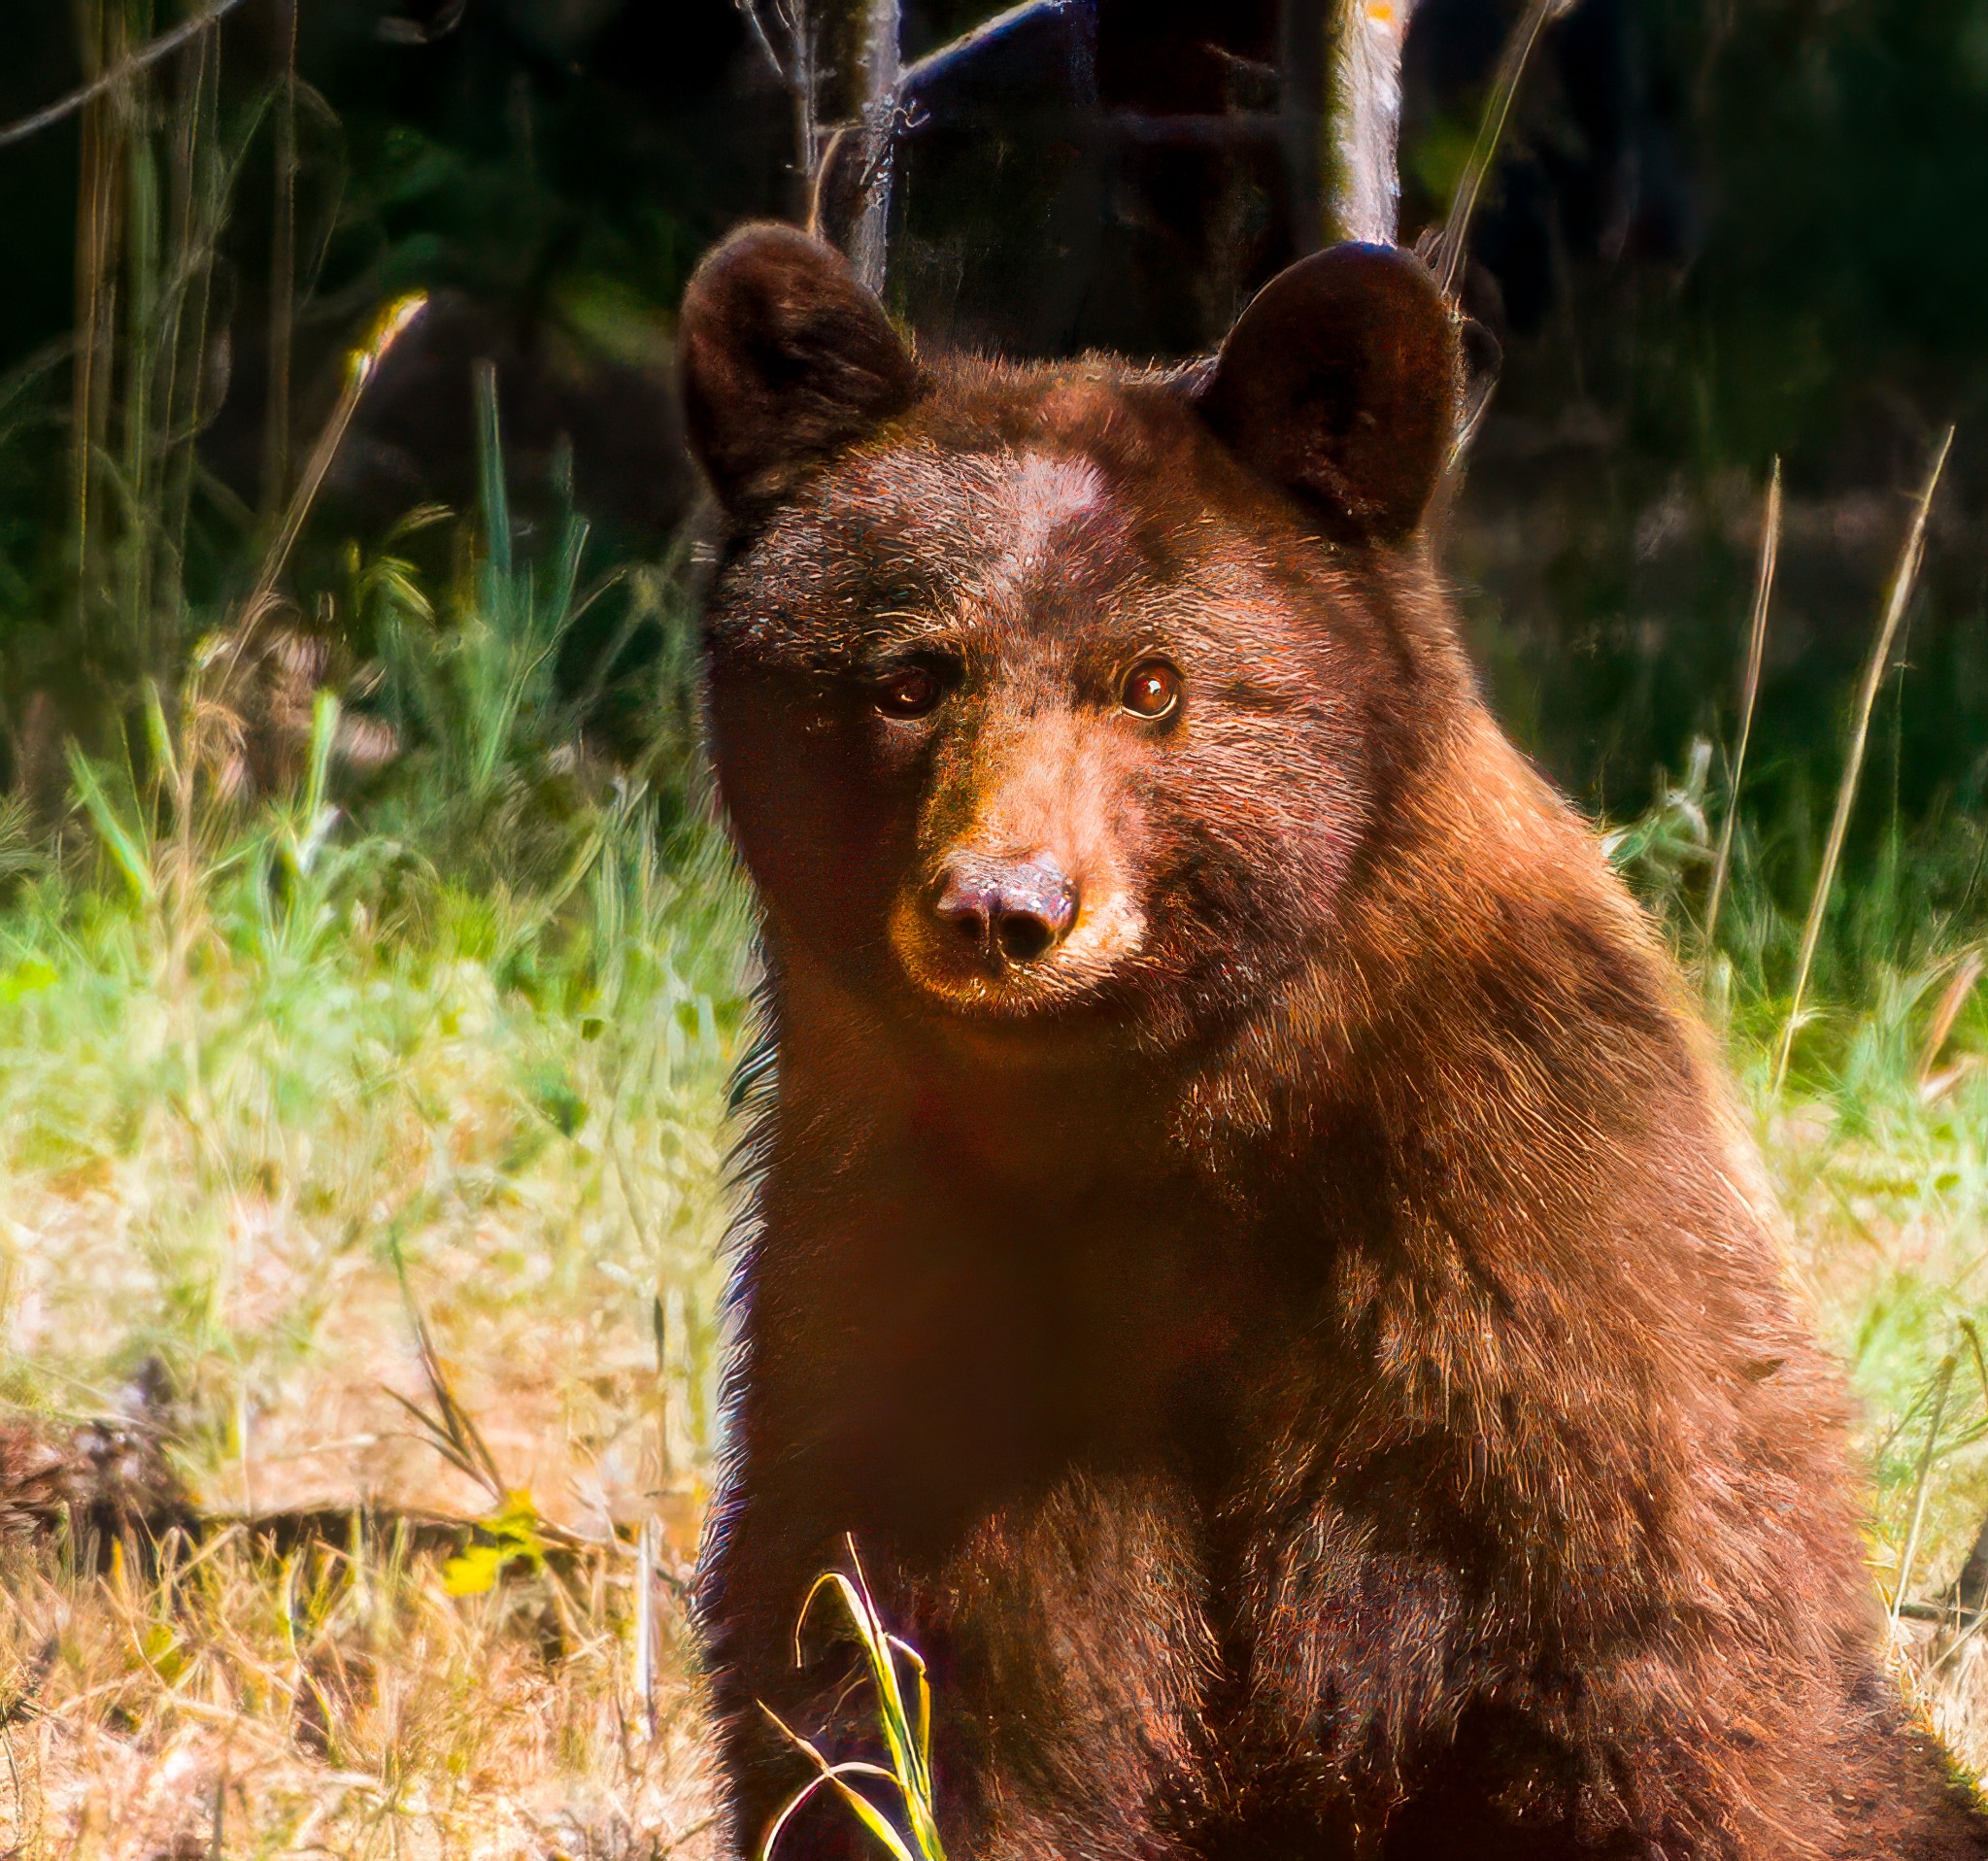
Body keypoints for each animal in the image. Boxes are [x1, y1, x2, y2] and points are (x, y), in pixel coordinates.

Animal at [676, 221, 1988, 1860]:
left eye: (1152, 684)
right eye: (908, 679)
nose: (1001, 909)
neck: (1142, 1119)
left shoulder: (1510, 1234)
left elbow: (1646, 1663)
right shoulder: (910, 1263)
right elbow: (912, 1669)